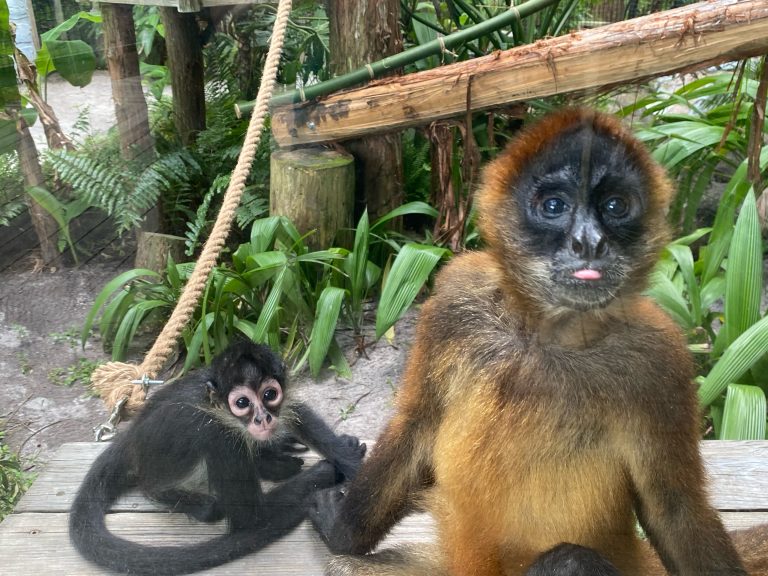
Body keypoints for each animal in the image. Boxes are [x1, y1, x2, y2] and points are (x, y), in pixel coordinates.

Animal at [70, 340, 366, 572]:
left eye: (270, 394)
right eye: (242, 403)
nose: (263, 419)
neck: (216, 407)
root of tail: (130, 440)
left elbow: (299, 413)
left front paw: (346, 457)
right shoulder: (219, 437)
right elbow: (252, 518)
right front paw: (325, 471)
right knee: (181, 496)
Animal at [310, 109, 768, 576]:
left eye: (615, 206)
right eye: (554, 206)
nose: (589, 243)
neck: (548, 335)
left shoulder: (661, 356)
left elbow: (675, 510)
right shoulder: (457, 302)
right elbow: (417, 428)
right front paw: (340, 531)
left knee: (571, 561)